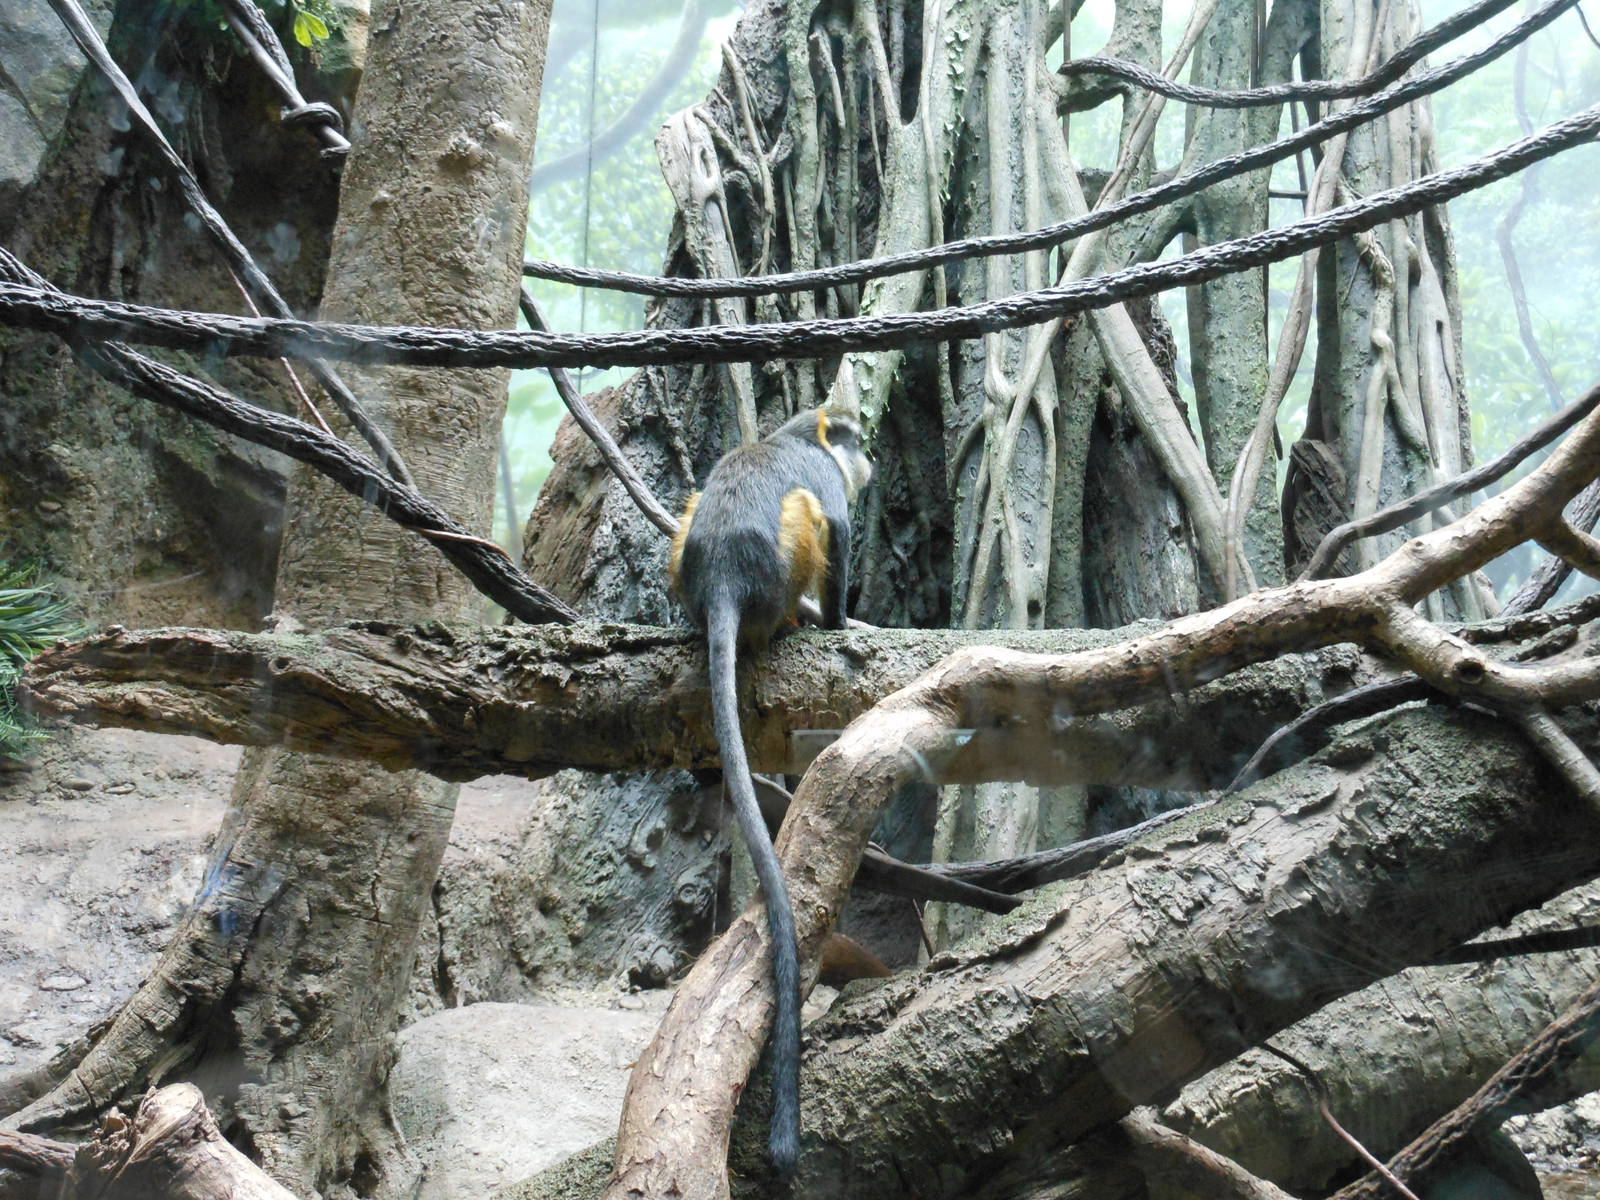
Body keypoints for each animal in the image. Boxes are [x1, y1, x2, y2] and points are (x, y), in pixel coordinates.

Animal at [668, 406, 872, 1175]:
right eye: (855, 439)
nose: (870, 456)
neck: (795, 435)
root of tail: (724, 580)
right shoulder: (829, 486)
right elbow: (838, 525)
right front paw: (840, 620)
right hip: (786, 564)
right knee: (809, 517)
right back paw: (798, 620)